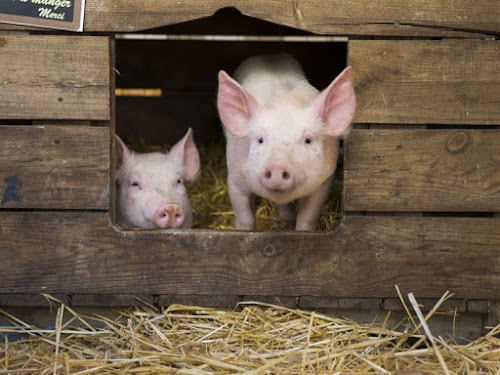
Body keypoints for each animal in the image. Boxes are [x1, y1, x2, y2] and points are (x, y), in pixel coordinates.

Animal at [218, 54, 356, 232]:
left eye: (308, 140)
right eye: (260, 139)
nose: (277, 164)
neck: (285, 104)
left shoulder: (324, 181)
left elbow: (307, 218)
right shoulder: (235, 179)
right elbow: (245, 219)